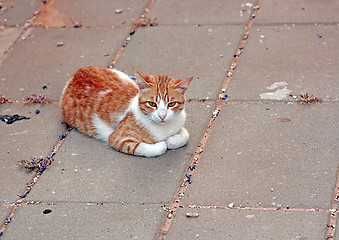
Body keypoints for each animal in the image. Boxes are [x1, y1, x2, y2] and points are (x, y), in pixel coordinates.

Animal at [60, 66, 193, 158]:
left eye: (171, 104)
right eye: (152, 104)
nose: (162, 116)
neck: (165, 129)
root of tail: (77, 73)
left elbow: (185, 135)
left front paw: (172, 140)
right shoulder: (117, 138)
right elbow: (148, 147)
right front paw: (163, 144)